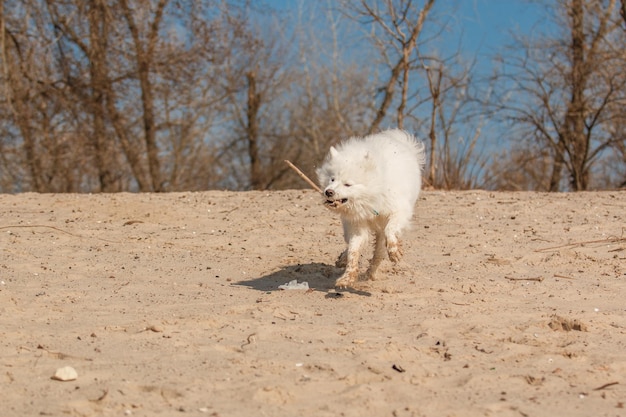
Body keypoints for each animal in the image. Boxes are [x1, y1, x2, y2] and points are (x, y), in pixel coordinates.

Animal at [316, 128, 424, 288]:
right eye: (332, 179)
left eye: (348, 184)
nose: (328, 192)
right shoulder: (357, 225)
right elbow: (353, 251)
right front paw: (347, 277)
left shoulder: (398, 211)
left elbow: (390, 231)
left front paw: (394, 251)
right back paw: (344, 260)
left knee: (379, 251)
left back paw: (371, 273)